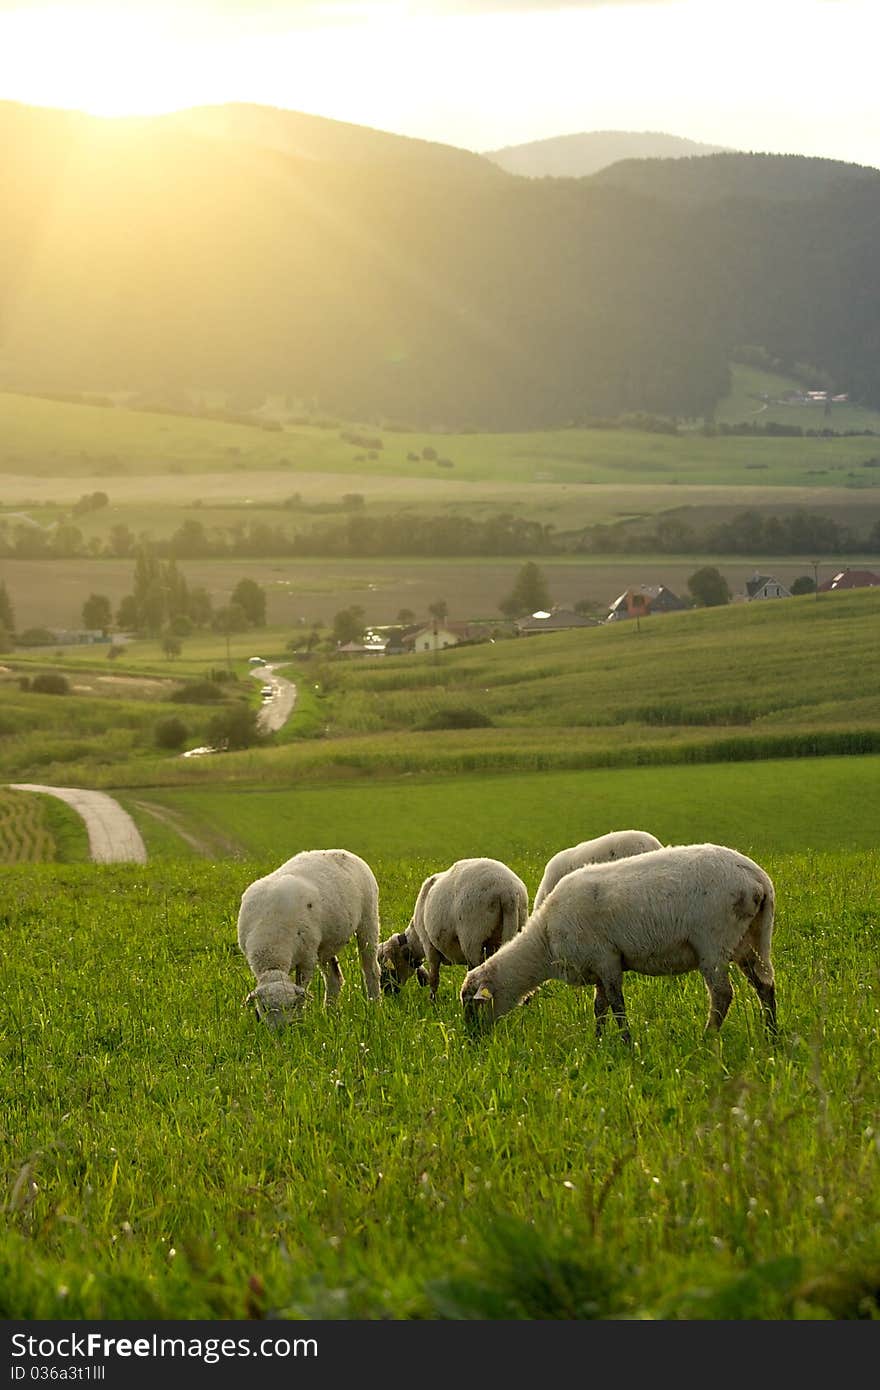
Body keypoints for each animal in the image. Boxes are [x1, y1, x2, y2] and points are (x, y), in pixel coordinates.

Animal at [236, 839, 380, 1028]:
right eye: (265, 1008)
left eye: (290, 1006)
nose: (280, 1031)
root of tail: (344, 852)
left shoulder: (306, 960)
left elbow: (302, 992)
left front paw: (300, 1020)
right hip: (325, 945)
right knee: (334, 979)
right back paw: (330, 1013)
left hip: (368, 919)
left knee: (371, 969)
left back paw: (375, 1004)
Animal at [378, 856, 528, 1000]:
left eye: (385, 966)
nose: (387, 993)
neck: (415, 941)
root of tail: (508, 893)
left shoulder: (429, 946)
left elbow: (434, 979)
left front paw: (433, 1002)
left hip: (472, 938)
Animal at [458, 834, 772, 1045]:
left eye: (473, 1005)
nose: (471, 1041)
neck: (544, 942)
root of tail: (758, 880)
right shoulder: (596, 965)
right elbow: (600, 1008)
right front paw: (598, 1041)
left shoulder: (606, 960)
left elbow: (617, 1005)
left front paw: (626, 1044)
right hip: (752, 938)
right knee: (765, 985)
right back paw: (773, 1035)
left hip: (714, 942)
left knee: (722, 994)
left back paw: (707, 1038)